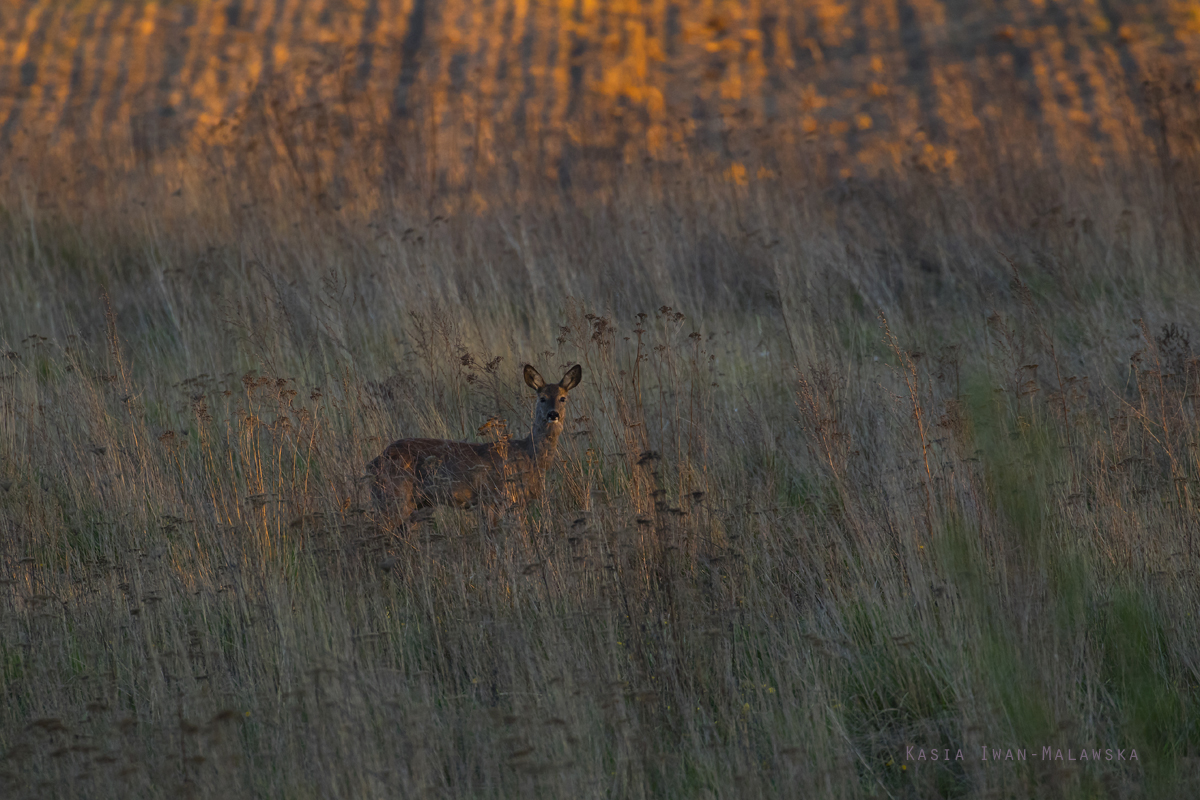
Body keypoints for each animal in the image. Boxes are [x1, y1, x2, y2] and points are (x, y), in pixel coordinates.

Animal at [369, 362, 585, 525]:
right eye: (542, 398)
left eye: (563, 398)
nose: (553, 414)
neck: (530, 457)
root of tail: (374, 462)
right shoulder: (497, 498)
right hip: (394, 497)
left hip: (414, 503)